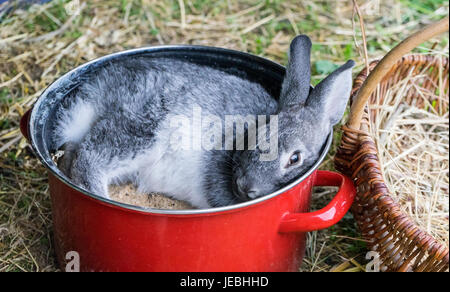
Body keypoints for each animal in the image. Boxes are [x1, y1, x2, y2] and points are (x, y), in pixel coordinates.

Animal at [52, 35, 356, 208]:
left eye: (295, 158)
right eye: (257, 136)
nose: (246, 186)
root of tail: (97, 92)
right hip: (143, 129)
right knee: (88, 159)